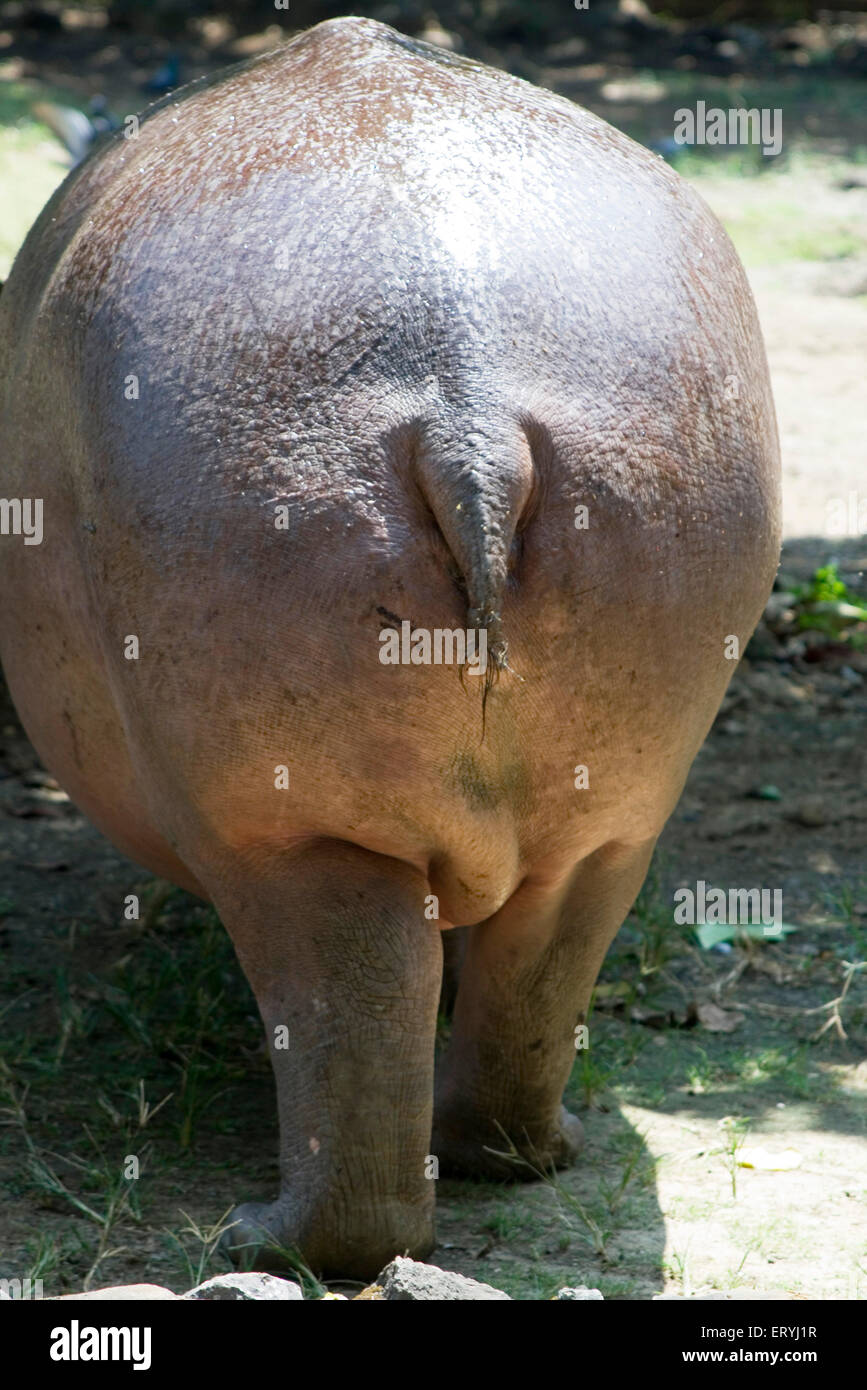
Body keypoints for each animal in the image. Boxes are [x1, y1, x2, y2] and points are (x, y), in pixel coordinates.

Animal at [0, 17, 780, 1279]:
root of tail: (469, 407)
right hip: (614, 801)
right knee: (534, 979)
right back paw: (528, 1149)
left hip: (295, 830)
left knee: (353, 1042)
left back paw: (260, 1232)